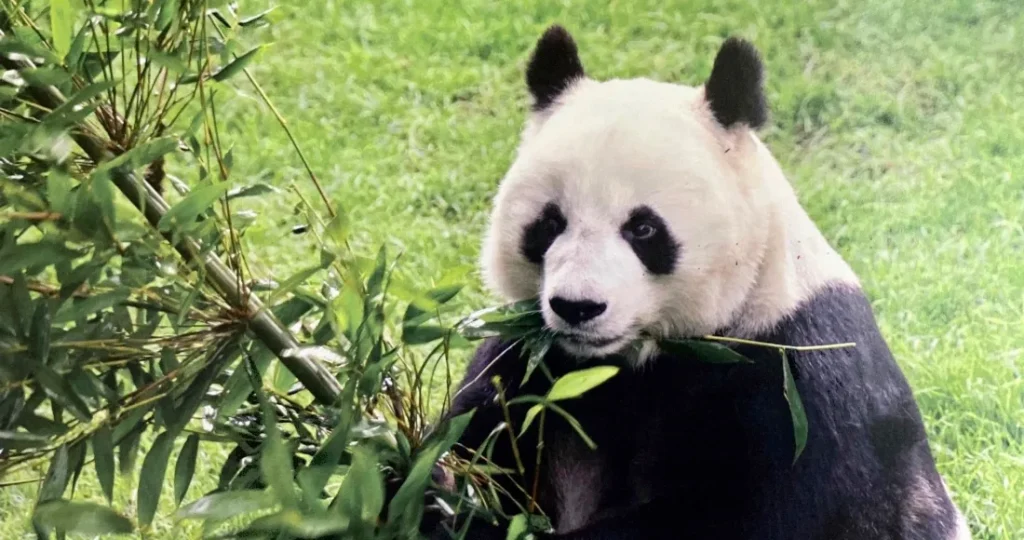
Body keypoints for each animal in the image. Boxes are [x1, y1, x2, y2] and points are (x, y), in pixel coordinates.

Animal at [426, 25, 970, 540]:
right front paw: (431, 486)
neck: (626, 360)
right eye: (549, 223)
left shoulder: (798, 380)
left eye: (643, 229)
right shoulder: (530, 361)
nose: (578, 307)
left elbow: (745, 514)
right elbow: (477, 439)